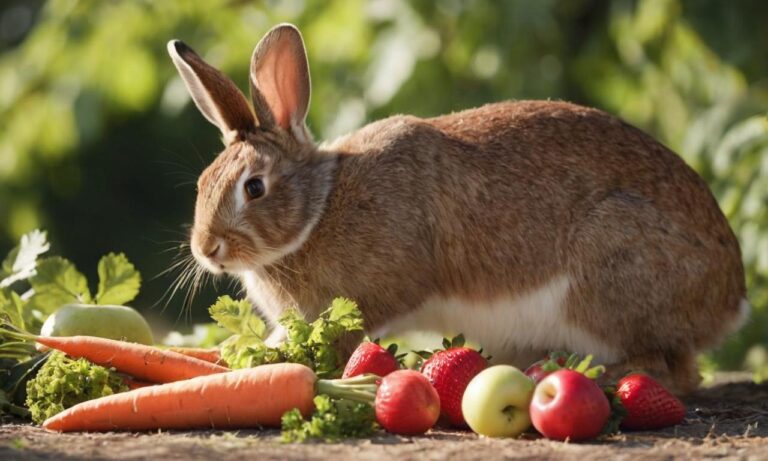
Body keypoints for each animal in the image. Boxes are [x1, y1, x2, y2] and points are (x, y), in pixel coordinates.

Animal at [170, 23, 752, 394]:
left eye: (254, 188)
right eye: (201, 183)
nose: (207, 249)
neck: (318, 210)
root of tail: (731, 296)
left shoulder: (372, 296)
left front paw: (271, 359)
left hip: (611, 268)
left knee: (673, 371)